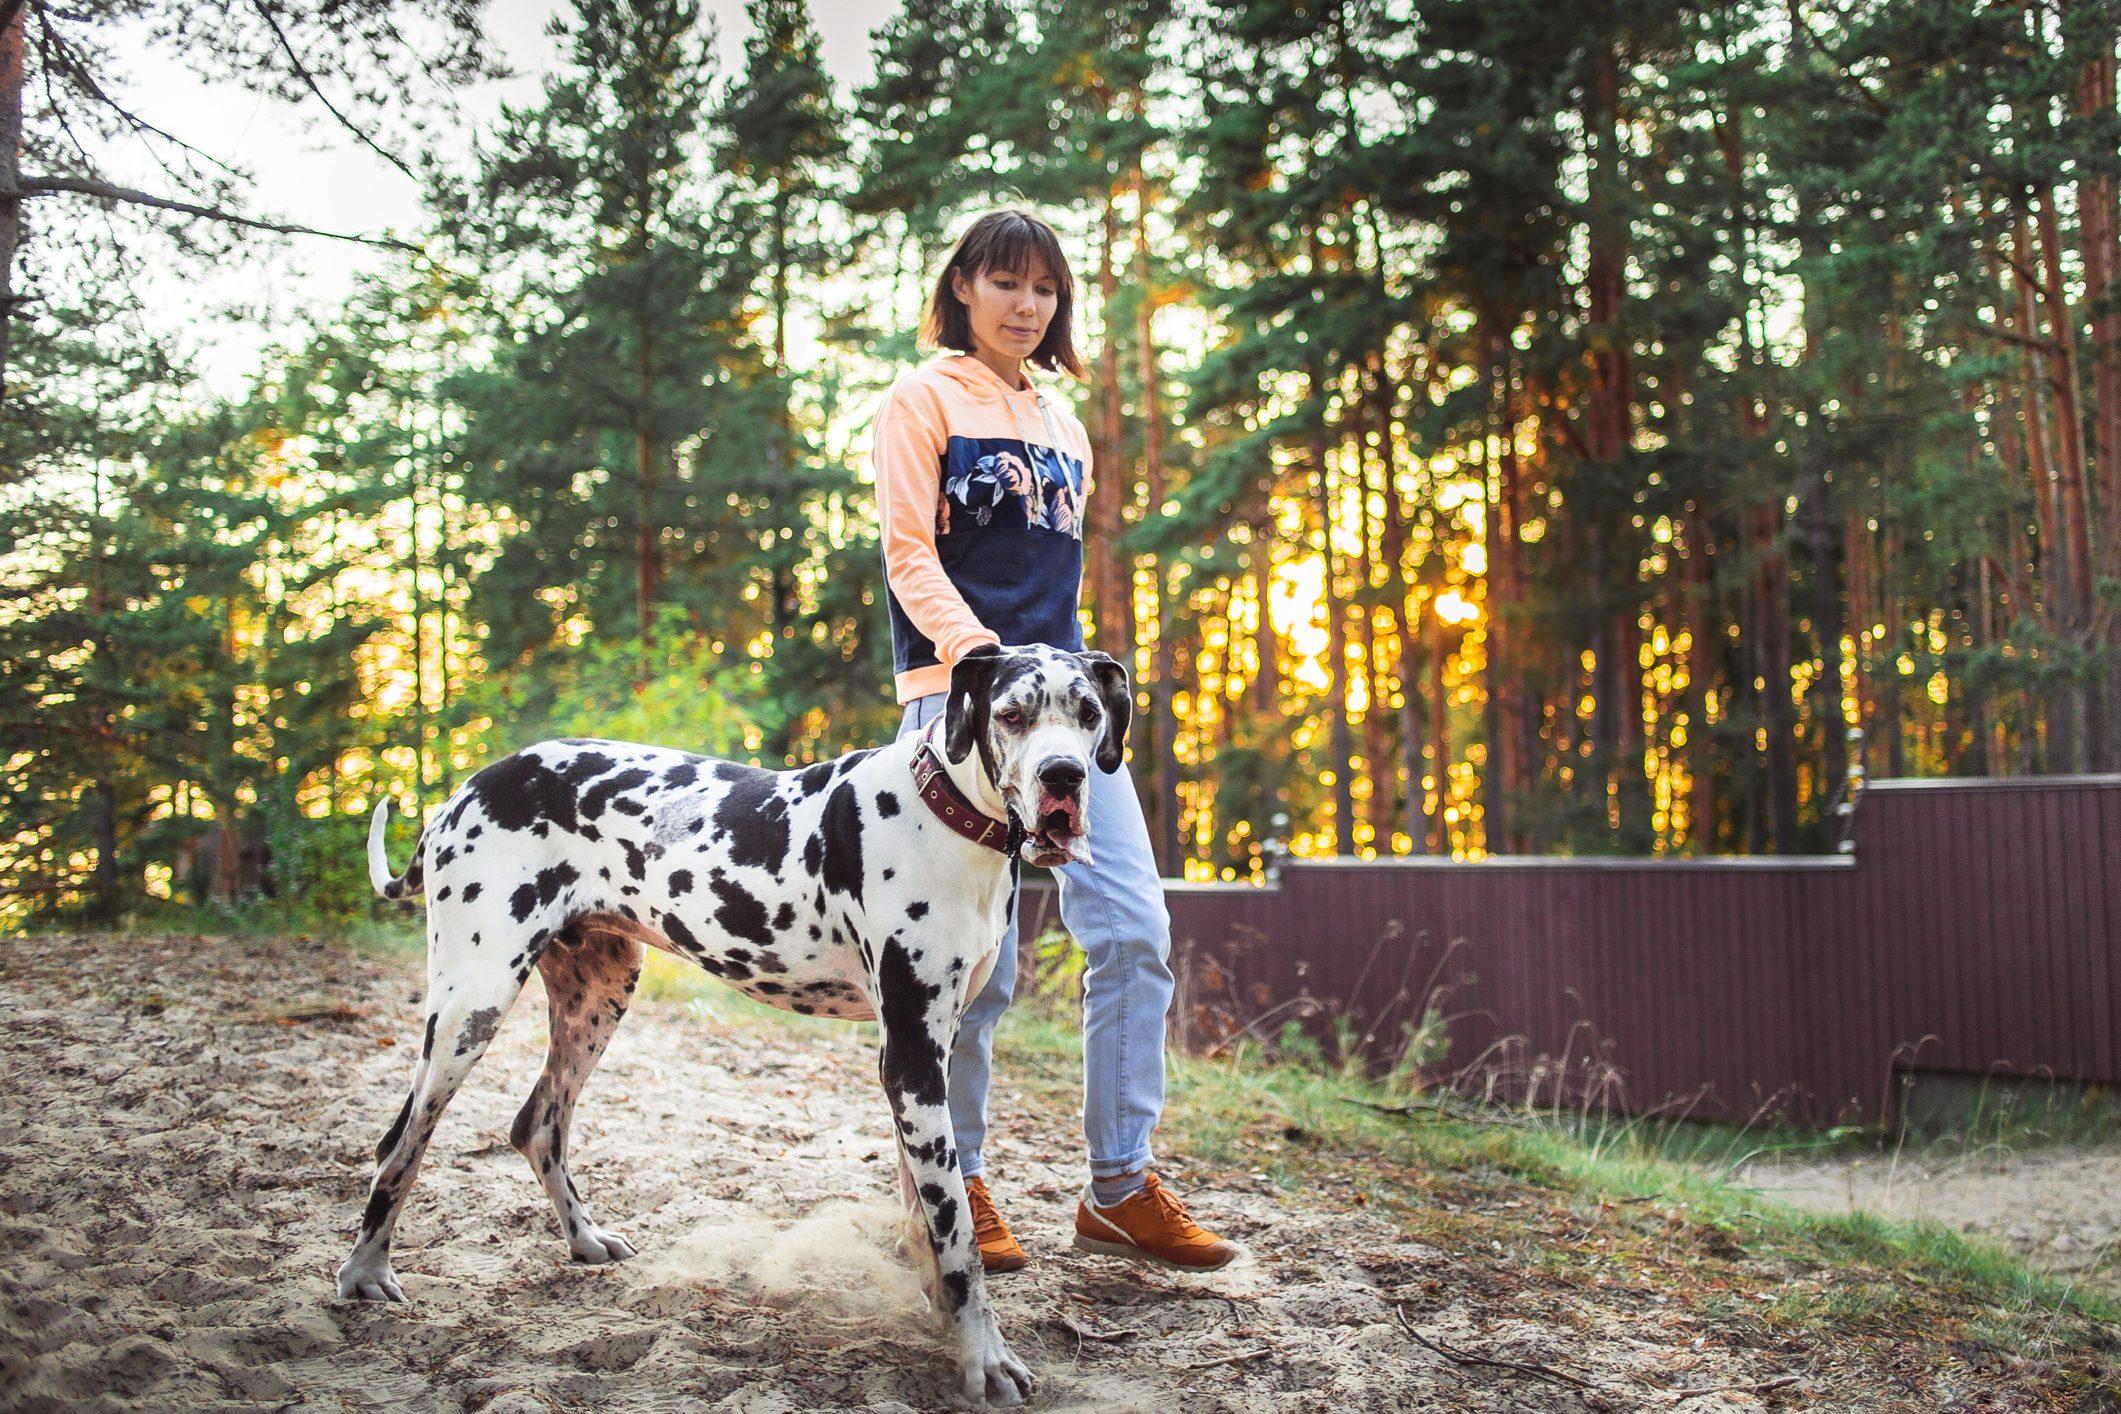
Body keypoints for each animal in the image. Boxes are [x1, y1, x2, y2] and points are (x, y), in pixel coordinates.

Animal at [335, 648, 1128, 1407]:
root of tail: (467, 787)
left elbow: (925, 1209)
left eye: (1088, 713)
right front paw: (984, 1360)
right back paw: (365, 1271)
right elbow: (956, 1231)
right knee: (399, 1140)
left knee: (537, 1124)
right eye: (1013, 714)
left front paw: (937, 1313)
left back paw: (584, 1238)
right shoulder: (911, 1056)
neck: (947, 814)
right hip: (473, 1000)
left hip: (597, 996)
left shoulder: (928, 1053)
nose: (1063, 775)